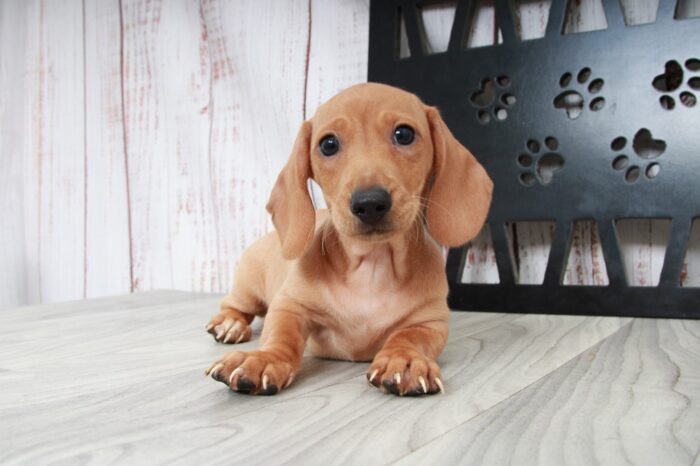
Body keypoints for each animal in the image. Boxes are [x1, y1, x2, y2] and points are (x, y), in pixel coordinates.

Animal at [205, 82, 494, 396]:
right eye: (328, 144)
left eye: (404, 134)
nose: (370, 203)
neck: (372, 265)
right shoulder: (289, 306)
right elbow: (281, 334)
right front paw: (265, 359)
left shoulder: (429, 321)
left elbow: (408, 337)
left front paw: (404, 360)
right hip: (247, 289)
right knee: (234, 306)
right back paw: (230, 324)